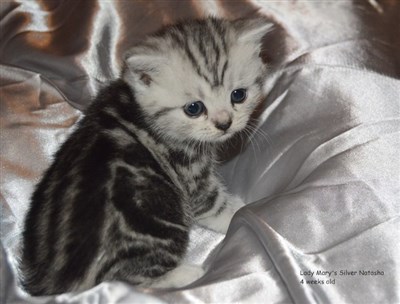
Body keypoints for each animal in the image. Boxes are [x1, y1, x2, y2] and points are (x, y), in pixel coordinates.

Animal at [20, 16, 270, 294]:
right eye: (194, 108)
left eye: (239, 95)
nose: (224, 123)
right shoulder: (190, 177)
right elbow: (216, 206)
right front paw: (244, 211)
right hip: (159, 216)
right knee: (130, 279)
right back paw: (187, 274)